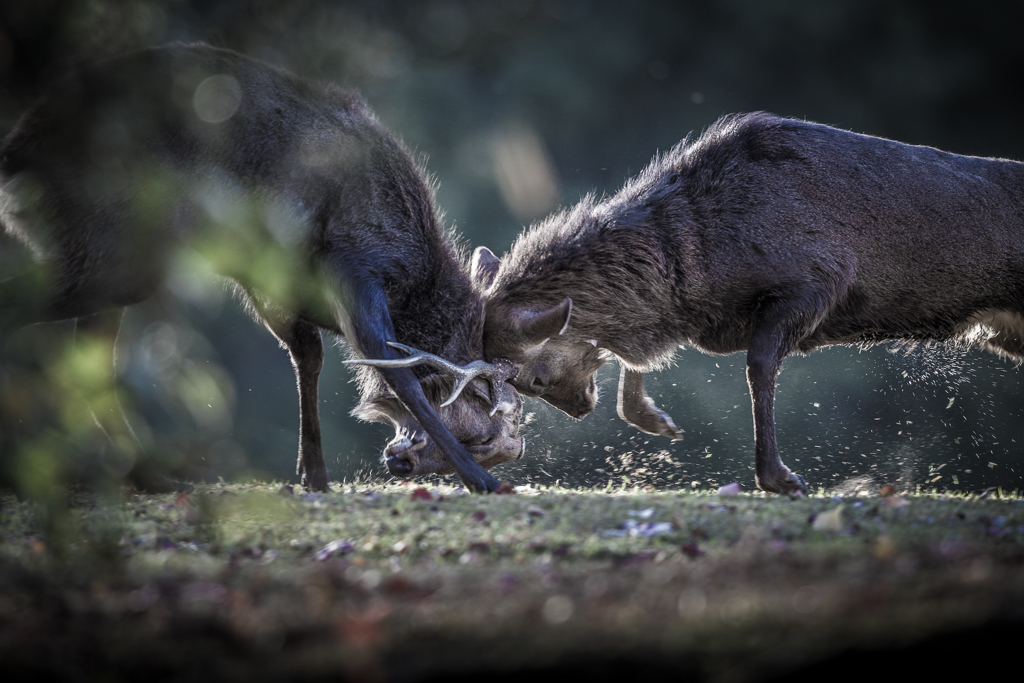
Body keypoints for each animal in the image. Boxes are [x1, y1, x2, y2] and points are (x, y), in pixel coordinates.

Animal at [0, 41, 524, 491]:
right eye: (483, 437)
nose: (402, 464)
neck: (416, 282)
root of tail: (16, 160)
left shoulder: (269, 282)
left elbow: (309, 354)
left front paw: (313, 473)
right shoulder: (354, 267)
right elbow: (397, 371)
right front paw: (483, 481)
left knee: (92, 360)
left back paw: (144, 474)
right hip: (117, 250)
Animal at [475, 113, 1024, 497]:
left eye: (532, 380)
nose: (580, 410)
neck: (693, 269)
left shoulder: (819, 280)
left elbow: (758, 368)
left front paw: (778, 476)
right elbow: (635, 358)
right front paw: (655, 418)